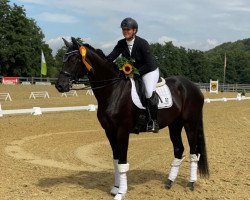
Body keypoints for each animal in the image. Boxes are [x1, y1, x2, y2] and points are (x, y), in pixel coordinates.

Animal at [55, 37, 209, 200]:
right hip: (174, 125)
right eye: (64, 59)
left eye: (74, 60)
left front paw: (121, 193)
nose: (60, 86)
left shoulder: (122, 131)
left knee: (194, 152)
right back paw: (168, 182)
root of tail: (194, 87)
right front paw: (115, 188)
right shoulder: (109, 131)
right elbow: (116, 161)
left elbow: (122, 162)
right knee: (179, 150)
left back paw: (191, 184)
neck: (113, 91)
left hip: (190, 124)